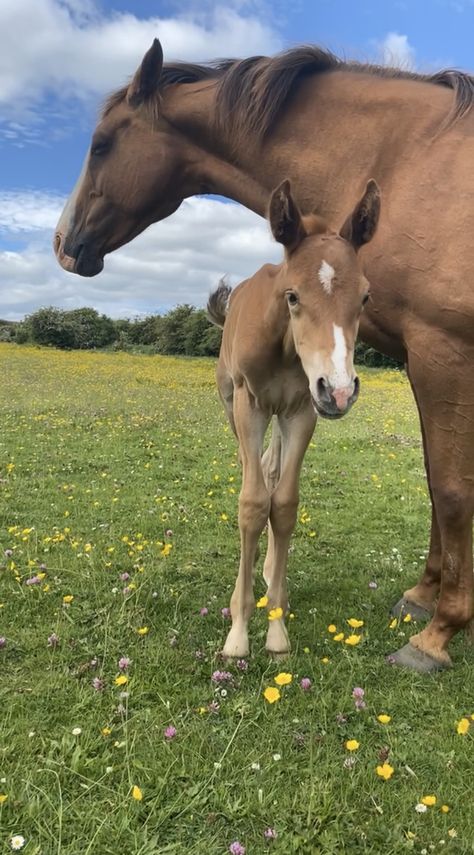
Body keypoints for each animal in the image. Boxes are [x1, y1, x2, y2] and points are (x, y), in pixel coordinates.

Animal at [209, 181, 380, 660]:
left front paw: (276, 627)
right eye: (293, 296)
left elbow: (283, 505)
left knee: (271, 470)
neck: (285, 348)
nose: (339, 390)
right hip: (233, 404)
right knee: (252, 472)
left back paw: (268, 568)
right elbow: (251, 504)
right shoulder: (250, 404)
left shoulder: (303, 409)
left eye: (364, 296)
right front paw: (238, 634)